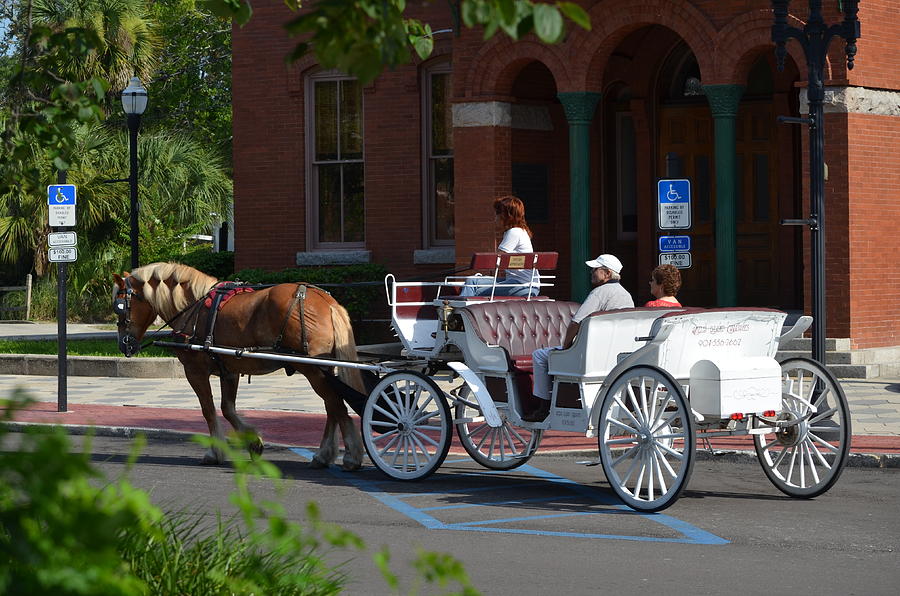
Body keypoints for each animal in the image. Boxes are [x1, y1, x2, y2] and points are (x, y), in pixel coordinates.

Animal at [112, 264, 366, 468]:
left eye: (120, 306)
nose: (123, 343)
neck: (193, 308)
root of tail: (327, 302)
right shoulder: (229, 371)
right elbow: (227, 408)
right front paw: (253, 442)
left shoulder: (195, 370)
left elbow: (208, 410)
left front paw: (215, 452)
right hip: (323, 368)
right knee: (332, 407)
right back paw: (324, 455)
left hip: (313, 370)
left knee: (337, 406)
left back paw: (351, 455)